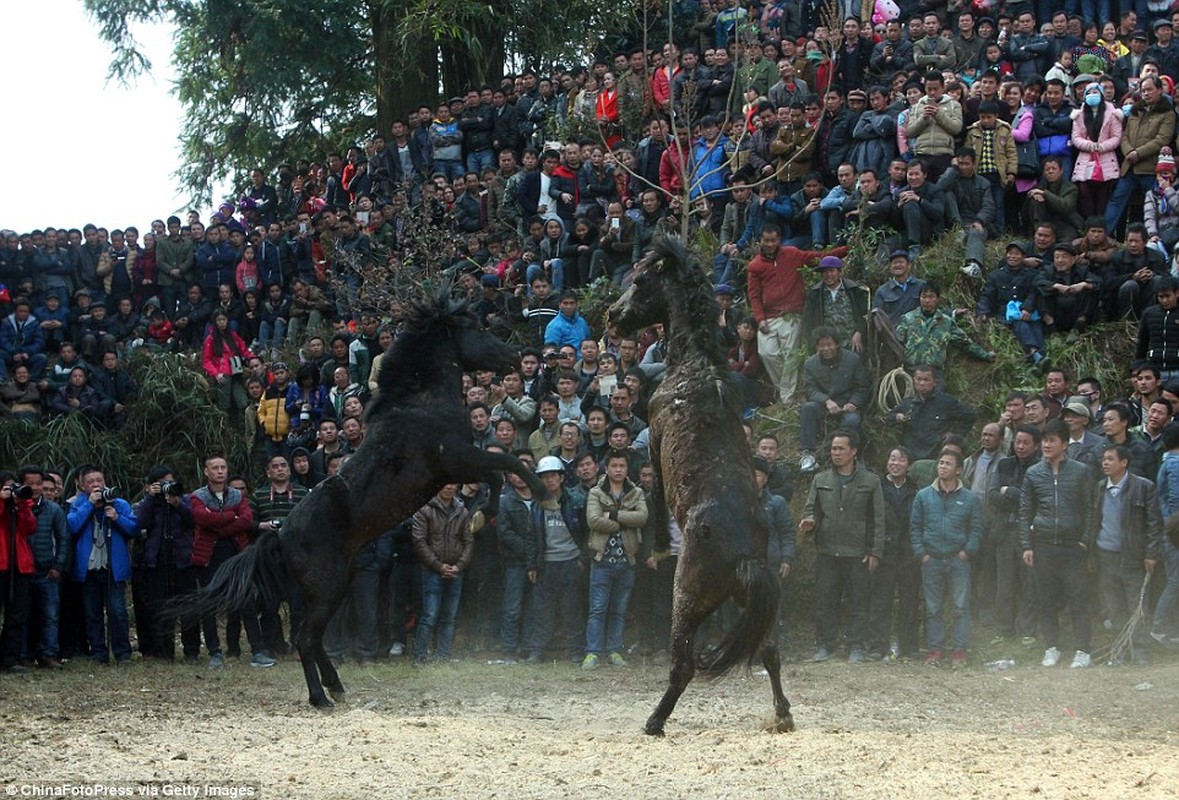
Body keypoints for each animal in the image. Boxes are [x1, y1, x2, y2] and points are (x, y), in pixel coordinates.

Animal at [176, 287, 544, 706]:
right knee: (305, 638)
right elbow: (508, 466)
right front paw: (535, 491)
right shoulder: (458, 461)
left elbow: (498, 474)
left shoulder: (461, 465)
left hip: (327, 590)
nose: (515, 357)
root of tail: (280, 536)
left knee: (312, 637)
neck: (422, 403)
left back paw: (335, 686)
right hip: (330, 588)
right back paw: (321, 697)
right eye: (478, 330)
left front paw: (486, 509)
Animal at [608, 236, 792, 739]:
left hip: (686, 601)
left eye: (641, 280)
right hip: (756, 609)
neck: (694, 367)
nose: (613, 314)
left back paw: (654, 721)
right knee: (769, 652)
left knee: (684, 665)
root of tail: (744, 556)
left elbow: (651, 493)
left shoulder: (653, 443)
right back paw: (783, 715)